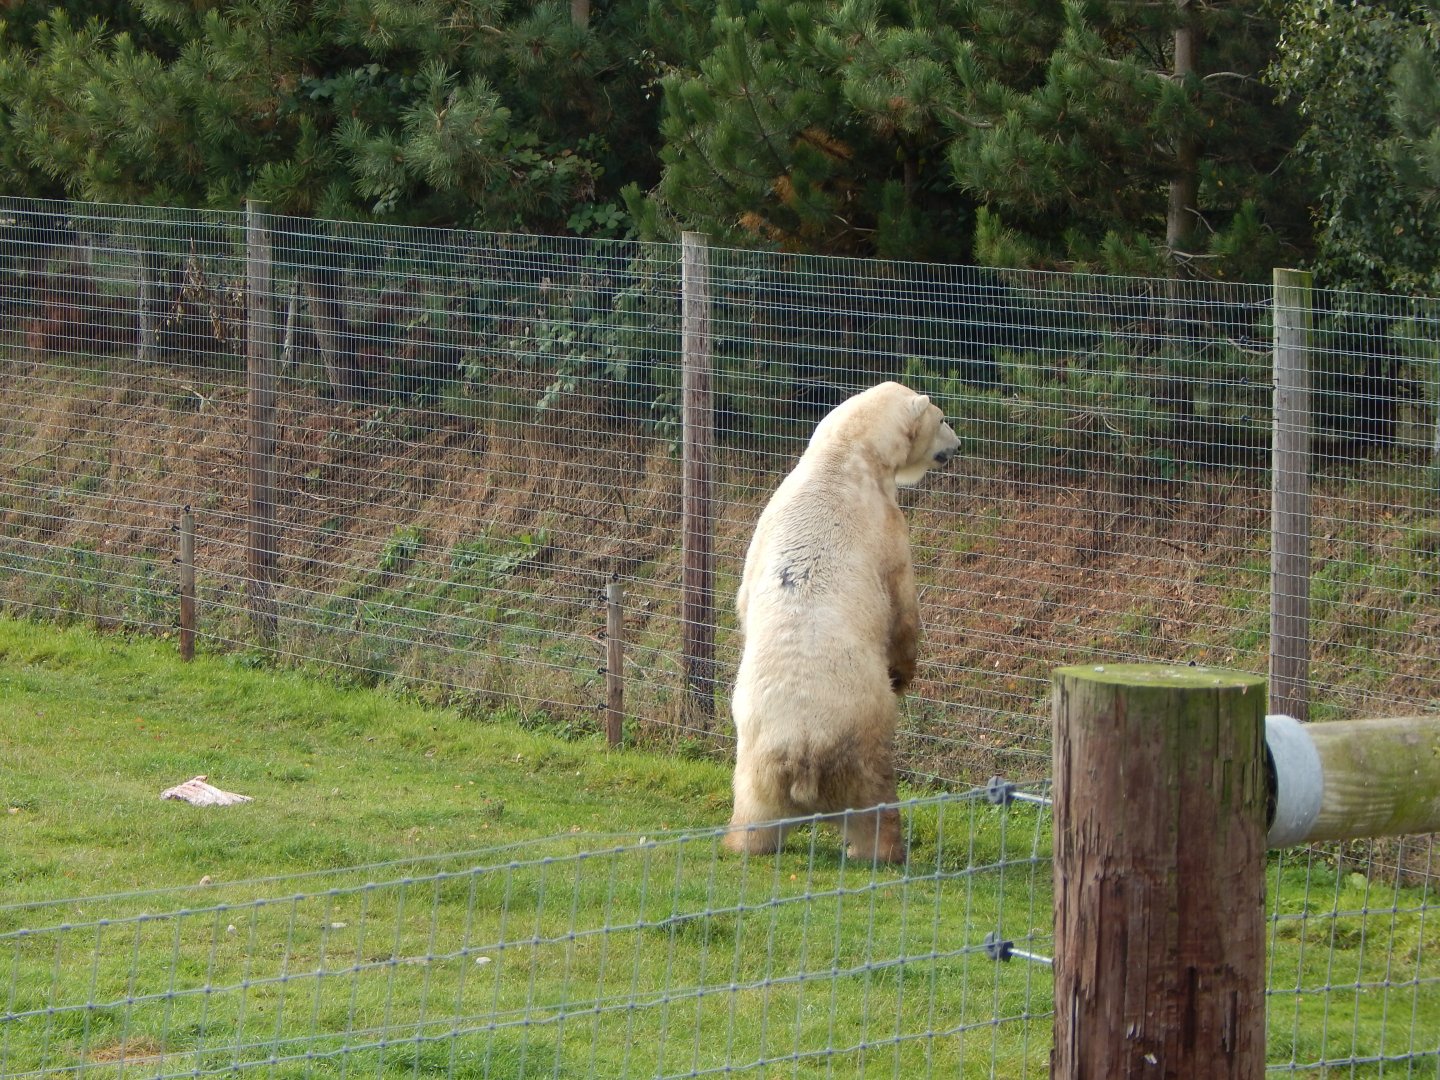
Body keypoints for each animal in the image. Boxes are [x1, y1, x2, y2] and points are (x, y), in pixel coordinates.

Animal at [724, 381, 960, 863]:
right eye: (942, 418)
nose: (959, 444)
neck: (842, 456)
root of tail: (802, 753)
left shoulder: (766, 521)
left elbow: (744, 597)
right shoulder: (884, 522)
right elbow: (902, 605)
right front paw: (903, 673)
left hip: (757, 764)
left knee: (755, 814)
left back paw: (742, 842)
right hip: (861, 745)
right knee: (876, 805)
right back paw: (885, 850)